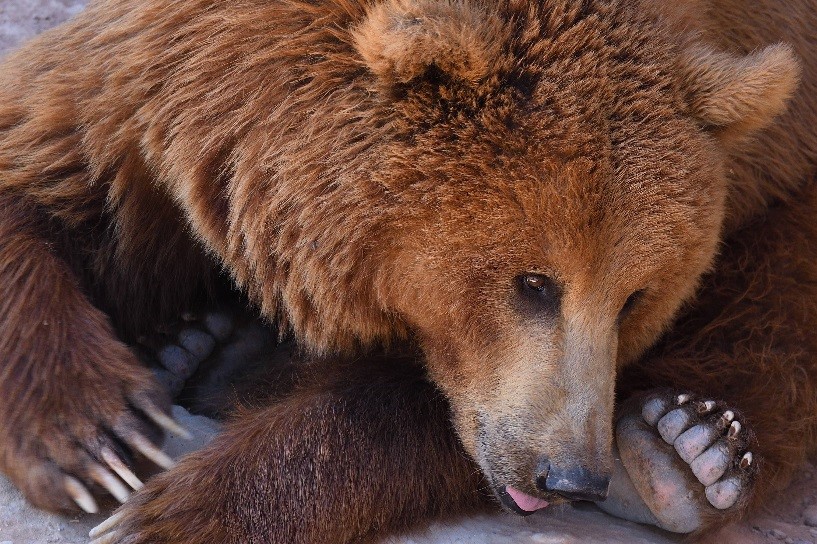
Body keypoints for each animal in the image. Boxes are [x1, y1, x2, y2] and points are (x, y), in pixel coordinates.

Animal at [1, 0, 816, 540]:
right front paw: (95, 442)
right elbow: (41, 163)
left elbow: (407, 408)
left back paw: (682, 452)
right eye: (533, 283)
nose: (568, 476)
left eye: (636, 298)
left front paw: (174, 513)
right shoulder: (149, 100)